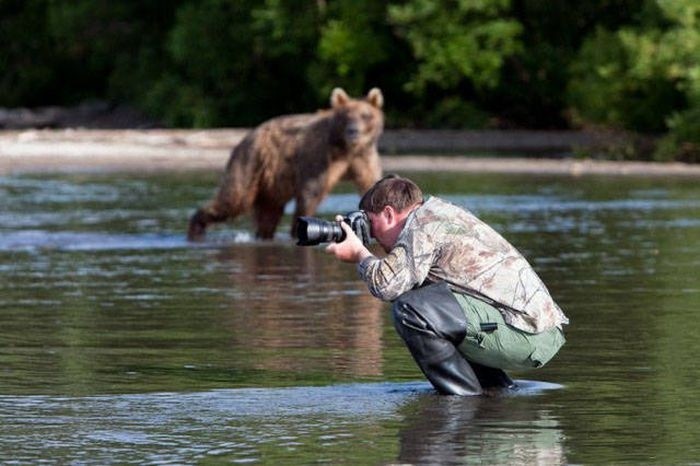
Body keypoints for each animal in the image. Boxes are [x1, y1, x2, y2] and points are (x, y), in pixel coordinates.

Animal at [187, 86, 382, 240]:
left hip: (271, 182)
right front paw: (298, 229)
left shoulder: (363, 158)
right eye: (346, 115)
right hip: (250, 162)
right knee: (234, 199)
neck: (345, 148)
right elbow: (310, 192)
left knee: (269, 213)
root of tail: (246, 137)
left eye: (365, 115)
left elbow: (371, 184)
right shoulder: (319, 156)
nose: (353, 131)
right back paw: (196, 228)